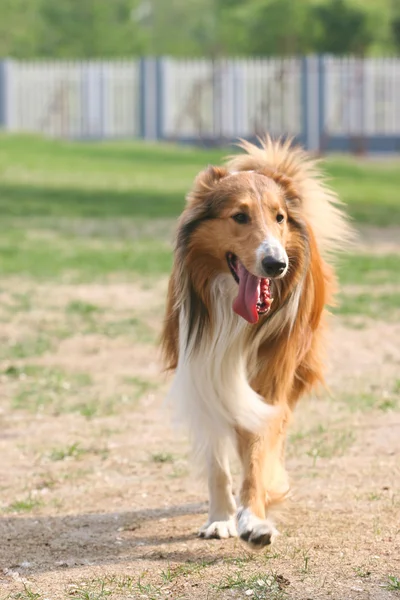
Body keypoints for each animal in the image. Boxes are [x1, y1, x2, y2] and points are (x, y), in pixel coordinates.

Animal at [161, 136, 352, 548]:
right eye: (239, 216)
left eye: (279, 218)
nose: (275, 265)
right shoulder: (203, 370)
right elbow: (218, 460)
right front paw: (221, 517)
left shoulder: (271, 376)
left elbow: (259, 447)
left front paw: (255, 516)